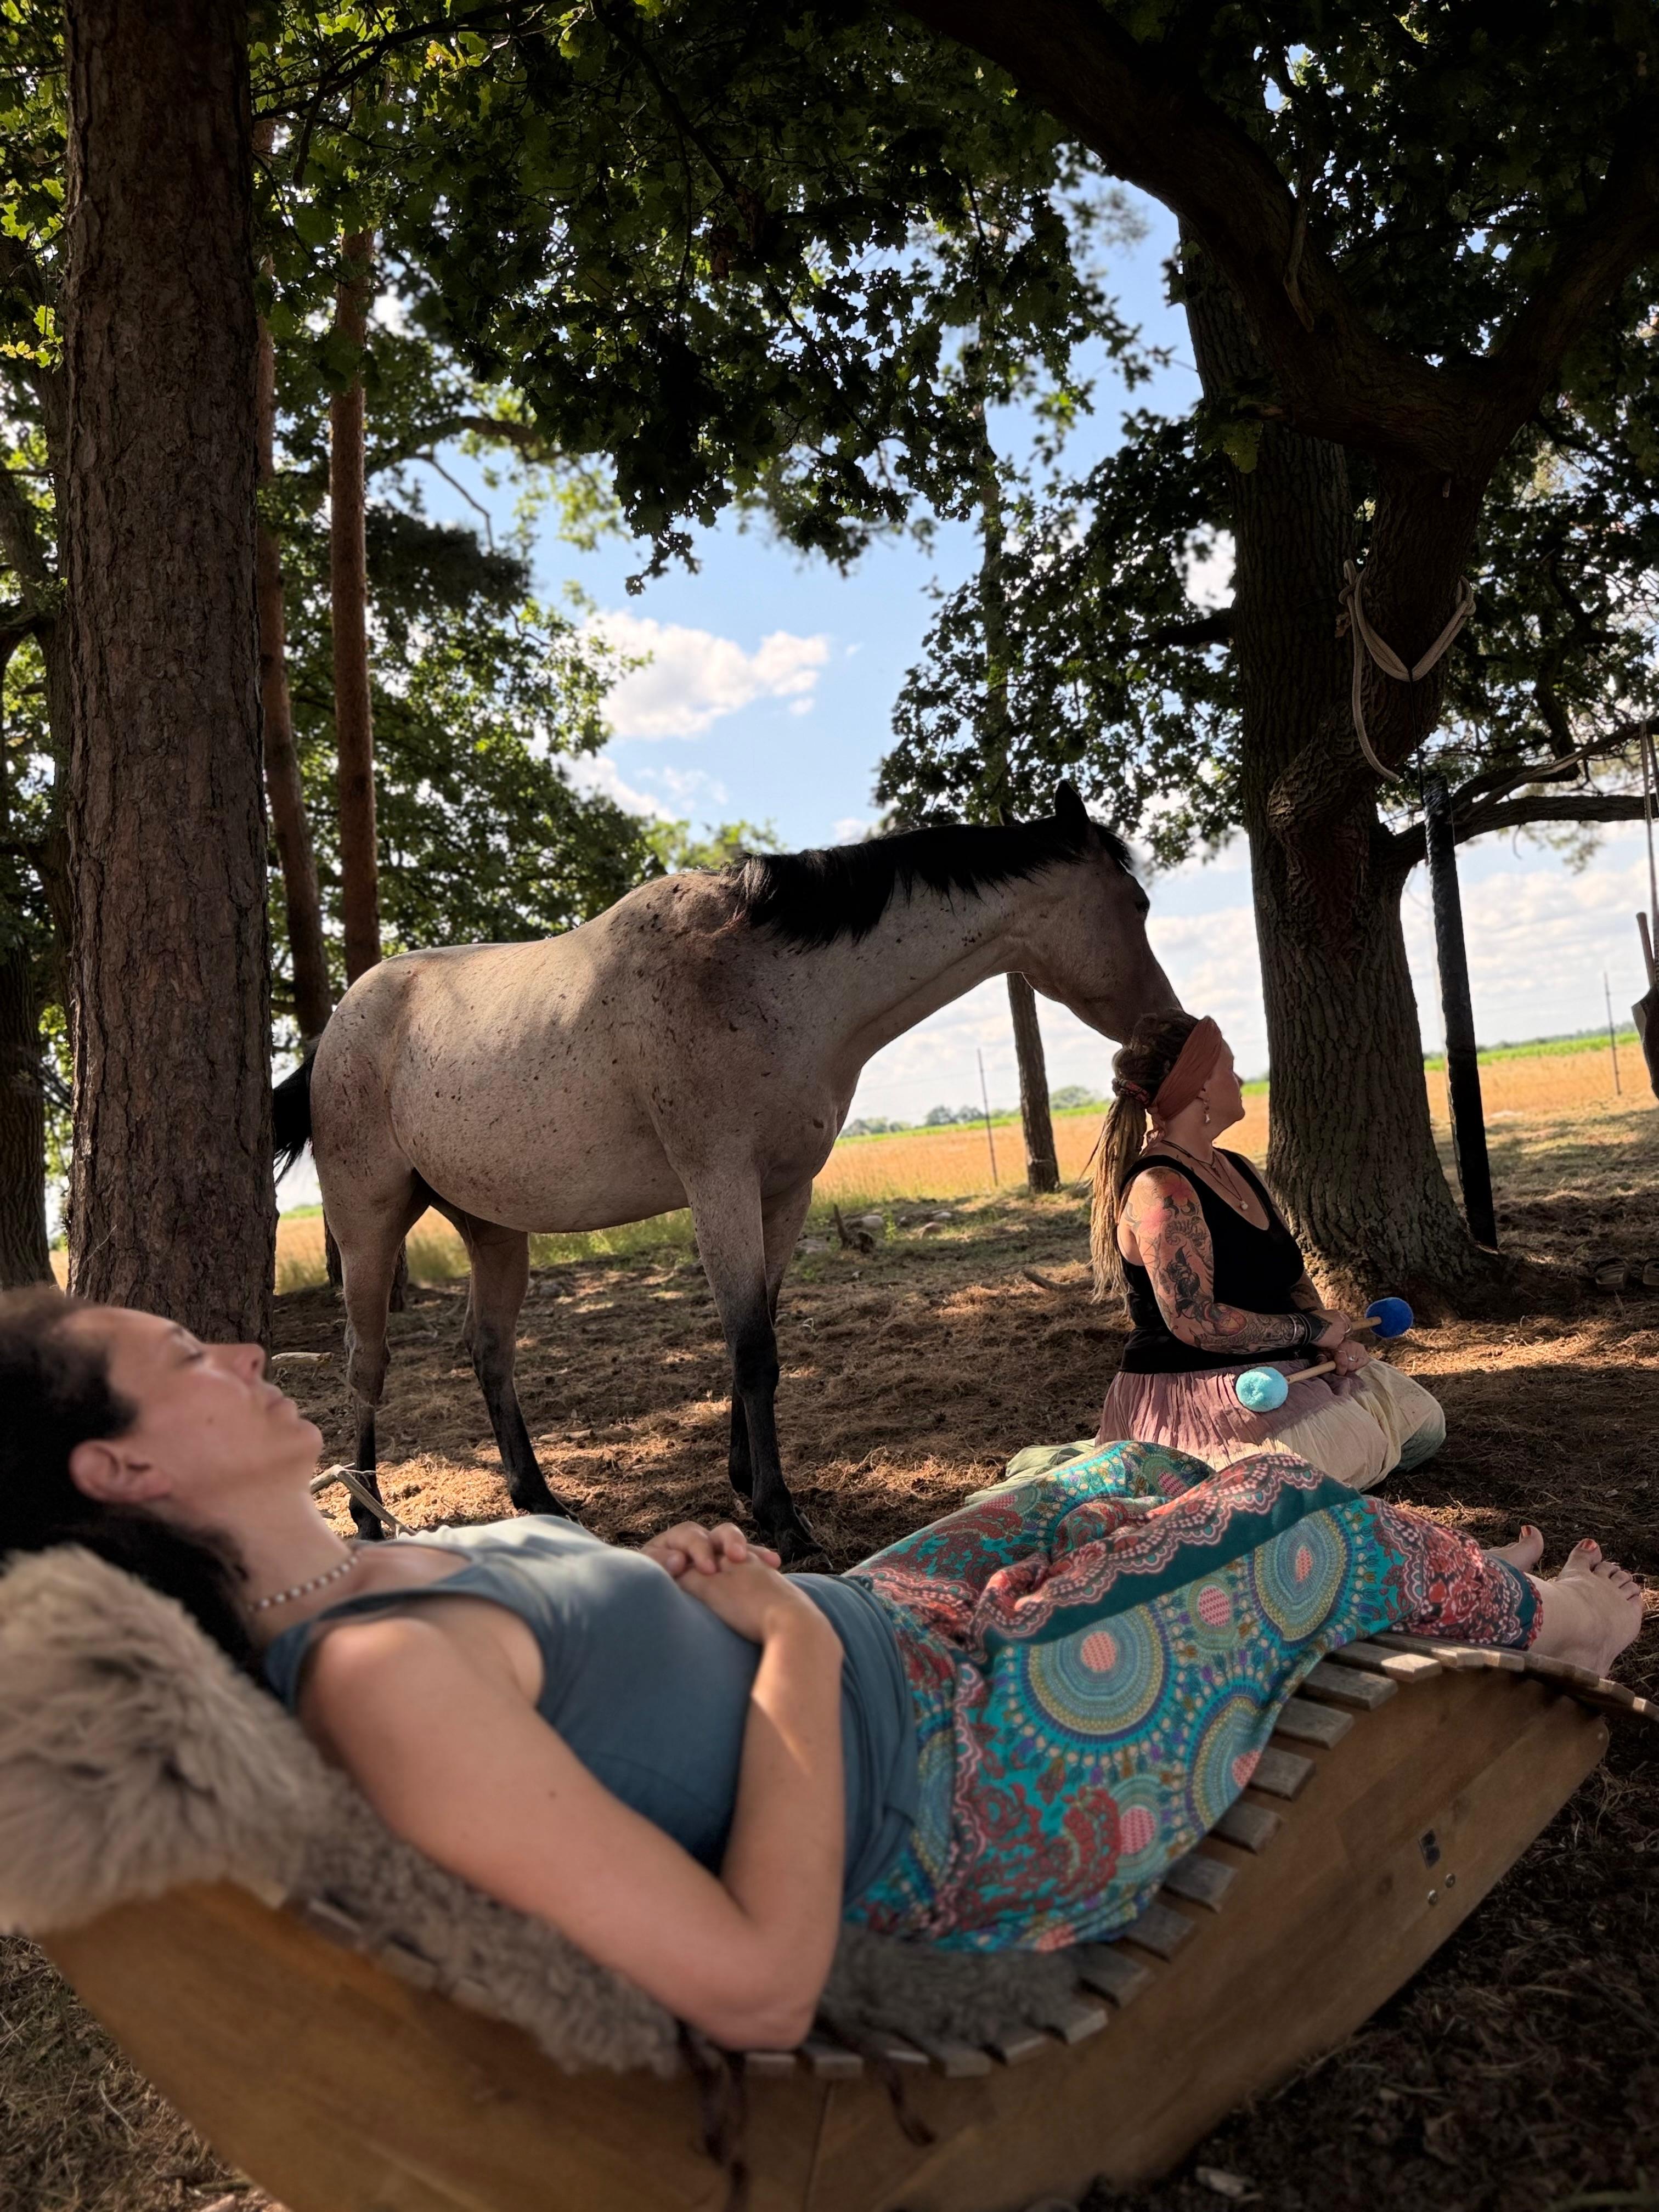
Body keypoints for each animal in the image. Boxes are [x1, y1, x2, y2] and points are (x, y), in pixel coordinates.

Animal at [272, 785, 1177, 1554]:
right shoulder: (721, 1188)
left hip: (495, 1230)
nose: (1169, 1025)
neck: (763, 977)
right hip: (369, 1221)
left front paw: (748, 1484)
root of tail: (337, 1027)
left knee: (488, 1350)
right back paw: (367, 1513)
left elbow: (760, 1338)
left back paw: (539, 1498)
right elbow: (751, 1347)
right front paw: (783, 1519)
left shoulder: (785, 1193)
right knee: (367, 1358)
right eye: (1137, 904)